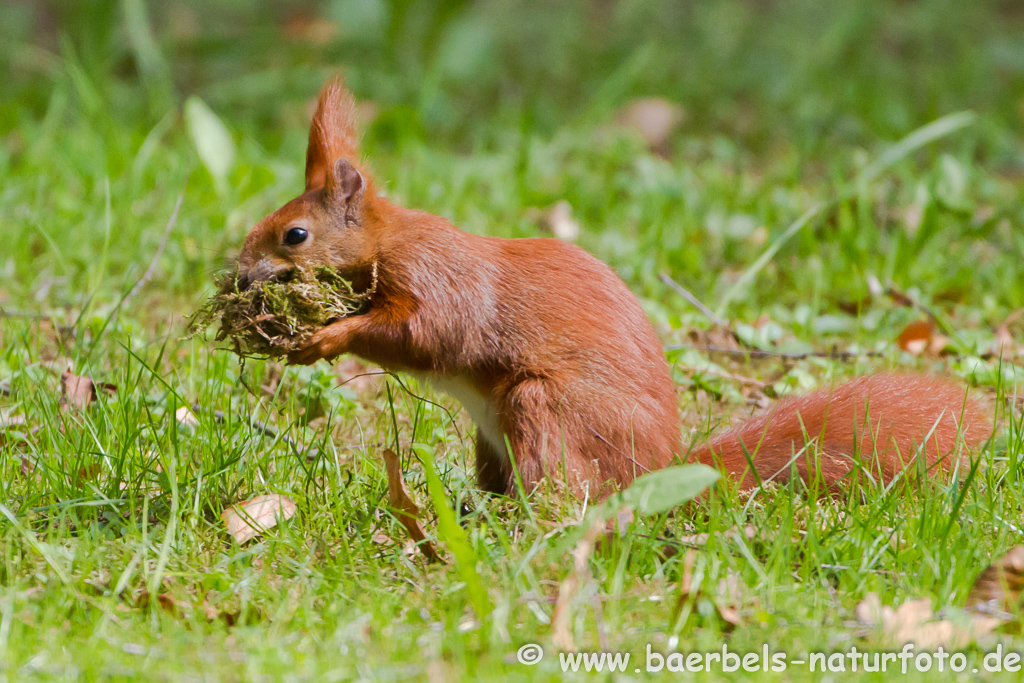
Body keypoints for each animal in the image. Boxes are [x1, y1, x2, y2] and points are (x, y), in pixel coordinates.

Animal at [234, 80, 991, 497]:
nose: (238, 274)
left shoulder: (439, 280)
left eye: (293, 235)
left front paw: (322, 337)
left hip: (545, 411)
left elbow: (425, 333)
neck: (391, 239)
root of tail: (656, 470)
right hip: (492, 441)